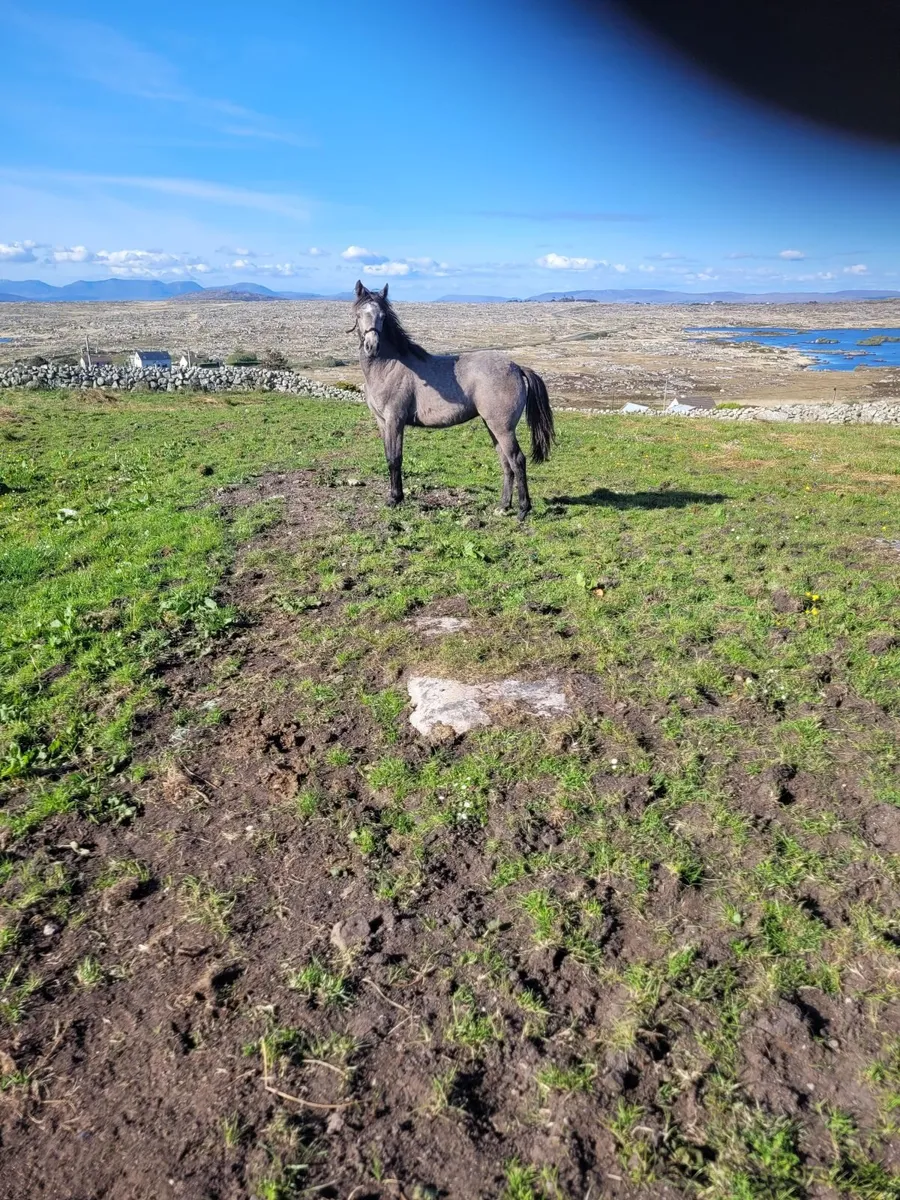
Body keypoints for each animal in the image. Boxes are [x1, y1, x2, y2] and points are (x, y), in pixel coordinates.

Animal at [349, 281, 555, 519]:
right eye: (359, 314)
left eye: (382, 316)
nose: (371, 346)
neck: (389, 366)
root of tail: (517, 367)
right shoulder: (382, 422)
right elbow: (388, 456)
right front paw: (395, 496)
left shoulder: (395, 421)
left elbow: (395, 459)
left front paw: (395, 498)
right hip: (493, 427)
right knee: (506, 462)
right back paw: (503, 506)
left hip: (503, 428)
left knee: (518, 460)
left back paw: (523, 510)